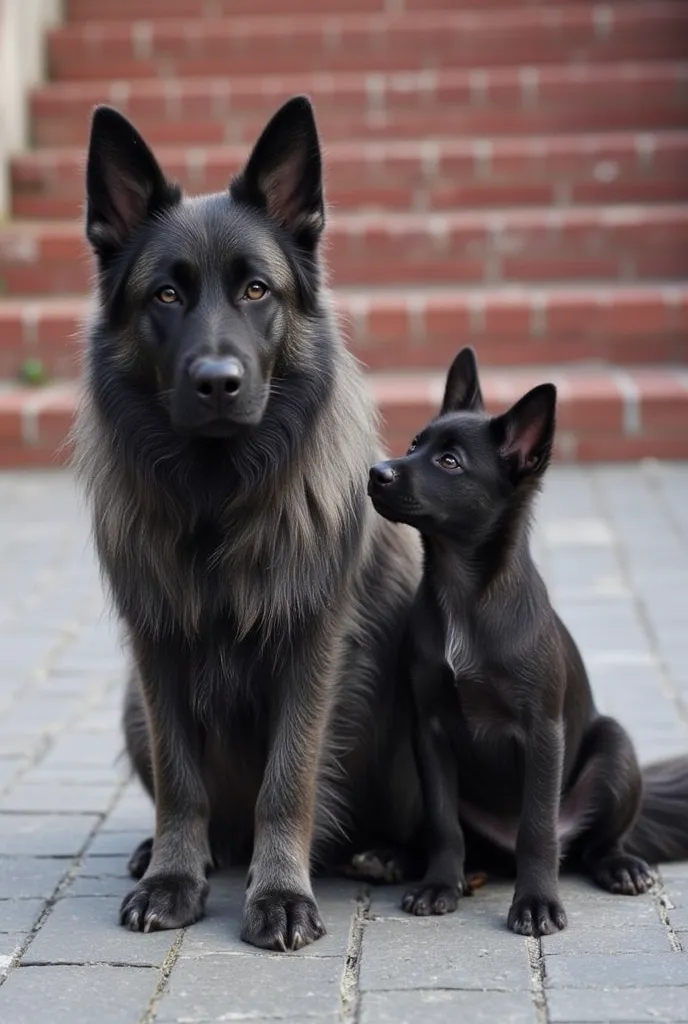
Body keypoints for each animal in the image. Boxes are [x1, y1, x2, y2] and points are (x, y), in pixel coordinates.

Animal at [73, 96, 423, 950]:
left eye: (257, 290)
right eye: (165, 296)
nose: (217, 382)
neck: (216, 499)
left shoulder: (310, 647)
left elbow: (287, 783)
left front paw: (281, 894)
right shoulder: (158, 650)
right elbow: (181, 784)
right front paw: (172, 879)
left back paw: (385, 854)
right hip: (131, 706)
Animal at [364, 350, 688, 937]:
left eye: (450, 462)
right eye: (414, 443)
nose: (377, 473)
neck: (465, 594)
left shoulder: (543, 732)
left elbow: (537, 828)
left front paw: (536, 902)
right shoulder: (429, 732)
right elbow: (443, 821)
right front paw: (440, 884)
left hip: (615, 749)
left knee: (588, 843)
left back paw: (620, 864)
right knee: (451, 836)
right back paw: (394, 856)